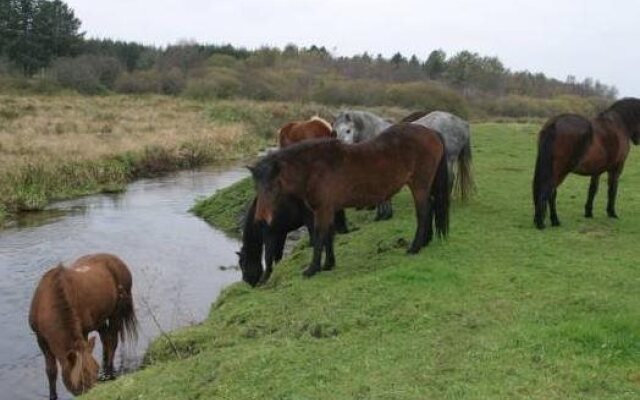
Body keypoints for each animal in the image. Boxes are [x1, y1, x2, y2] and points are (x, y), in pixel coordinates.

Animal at [29, 255, 138, 398]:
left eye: (95, 371)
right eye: (81, 380)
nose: (98, 393)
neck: (48, 304)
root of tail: (119, 261)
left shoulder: (83, 332)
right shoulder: (40, 338)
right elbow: (51, 371)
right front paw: (52, 395)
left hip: (116, 312)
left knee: (112, 341)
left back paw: (108, 372)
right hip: (100, 319)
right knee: (106, 339)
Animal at [250, 122, 450, 278]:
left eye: (272, 186)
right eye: (257, 187)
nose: (261, 218)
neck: (315, 168)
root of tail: (432, 132)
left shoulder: (322, 209)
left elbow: (320, 235)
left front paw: (312, 269)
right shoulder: (329, 209)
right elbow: (328, 235)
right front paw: (328, 264)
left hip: (419, 185)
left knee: (423, 212)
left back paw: (414, 247)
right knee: (430, 208)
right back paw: (425, 241)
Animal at [528, 96, 640, 228]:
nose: (637, 140)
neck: (619, 124)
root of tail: (554, 123)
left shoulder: (597, 170)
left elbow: (593, 189)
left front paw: (588, 212)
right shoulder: (616, 168)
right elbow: (612, 190)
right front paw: (612, 213)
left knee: (550, 192)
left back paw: (550, 220)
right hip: (559, 171)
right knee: (549, 191)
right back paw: (546, 222)